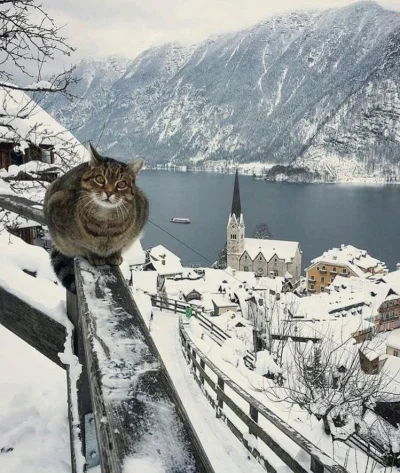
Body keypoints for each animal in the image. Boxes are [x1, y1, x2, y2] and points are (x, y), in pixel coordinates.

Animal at [43, 142, 149, 294]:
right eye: (100, 179)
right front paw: (94, 255)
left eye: (121, 184)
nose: (109, 192)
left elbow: (121, 245)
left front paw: (115, 255)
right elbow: (81, 246)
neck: (105, 223)